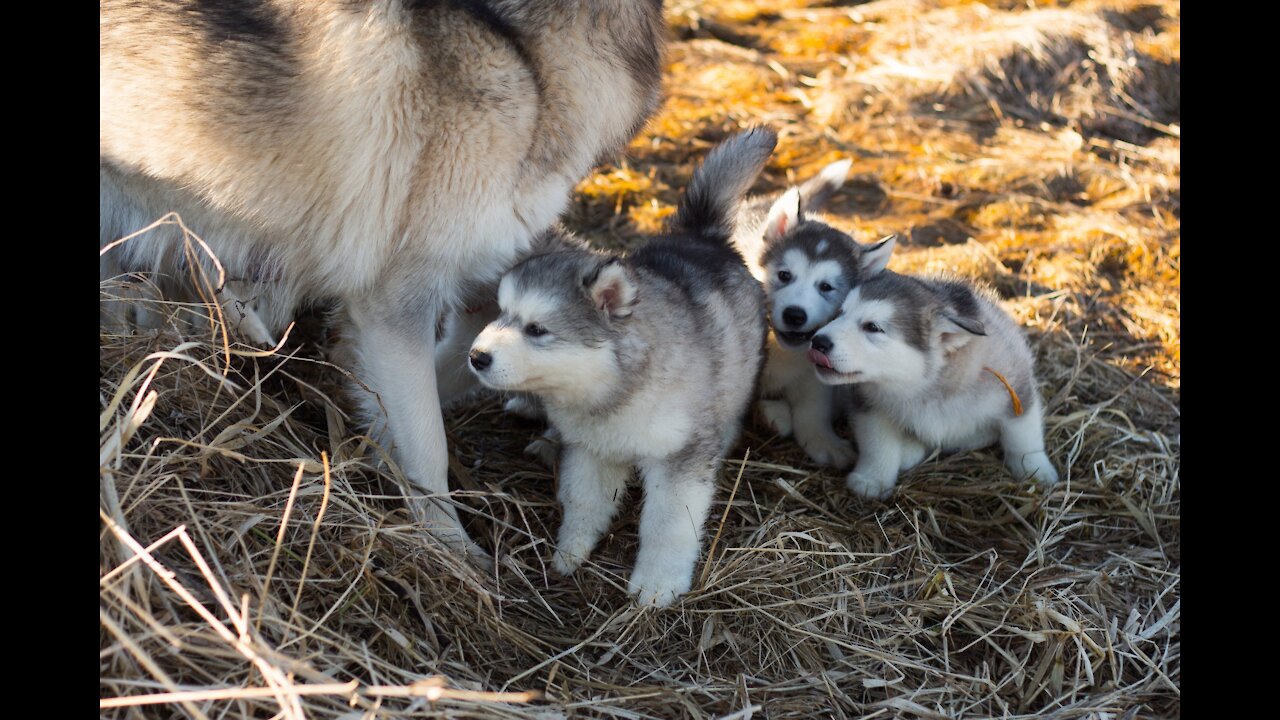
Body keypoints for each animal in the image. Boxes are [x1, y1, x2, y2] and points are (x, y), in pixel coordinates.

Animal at [468, 126, 773, 602]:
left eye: (537, 329)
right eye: (500, 313)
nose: (477, 356)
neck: (611, 390)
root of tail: (701, 235)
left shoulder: (677, 459)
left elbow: (667, 526)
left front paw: (657, 586)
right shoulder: (593, 449)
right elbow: (584, 502)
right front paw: (570, 553)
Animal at [808, 270, 1059, 499]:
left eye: (872, 327)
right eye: (840, 314)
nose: (817, 341)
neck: (924, 388)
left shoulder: (1015, 390)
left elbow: (1023, 437)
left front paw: (1036, 471)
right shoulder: (871, 407)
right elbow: (877, 445)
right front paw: (872, 479)